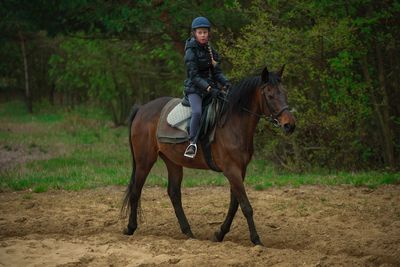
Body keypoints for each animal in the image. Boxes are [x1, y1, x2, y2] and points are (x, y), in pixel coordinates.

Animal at [123, 66, 296, 246]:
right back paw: (130, 228)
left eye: (284, 92)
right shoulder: (231, 170)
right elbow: (246, 206)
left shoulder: (240, 171)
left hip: (172, 161)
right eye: (270, 95)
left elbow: (234, 205)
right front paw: (256, 240)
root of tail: (141, 109)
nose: (289, 125)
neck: (233, 123)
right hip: (144, 160)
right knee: (136, 191)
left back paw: (188, 233)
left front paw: (219, 234)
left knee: (174, 194)